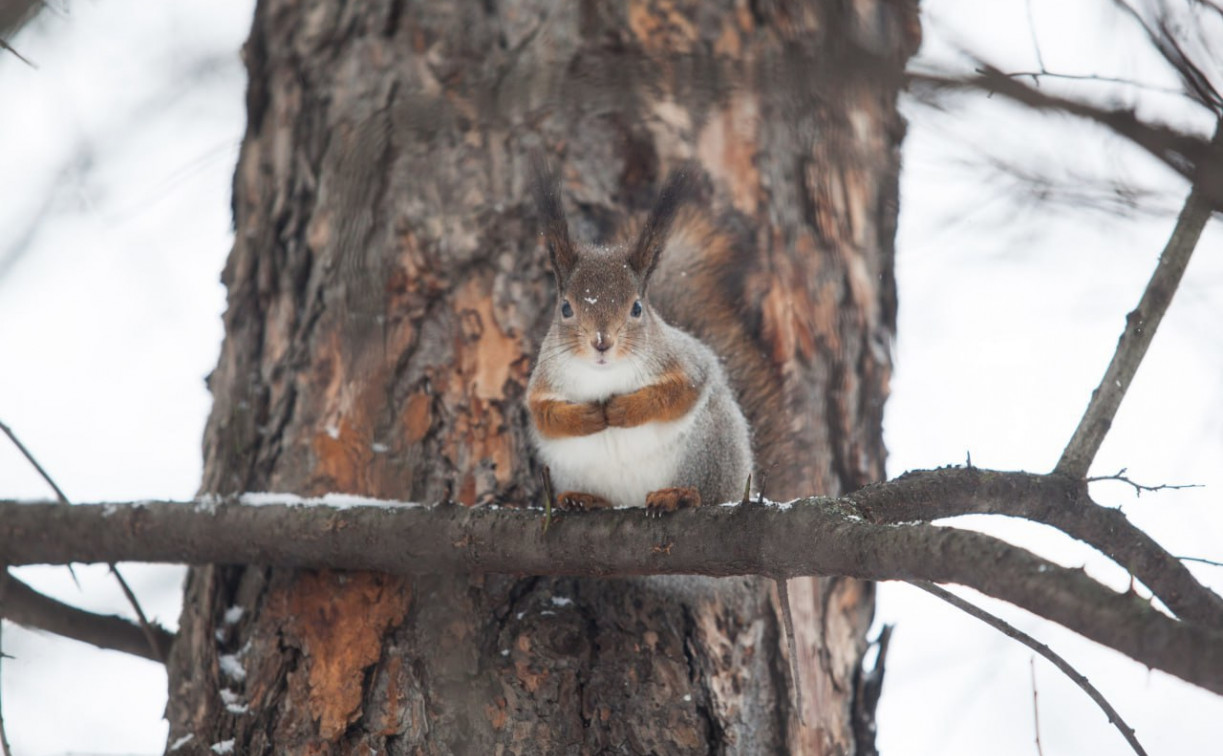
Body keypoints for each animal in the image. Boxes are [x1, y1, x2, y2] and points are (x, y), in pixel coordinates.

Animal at [528, 160, 753, 511]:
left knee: (707, 492)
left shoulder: (686, 363)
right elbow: (545, 414)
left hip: (709, 449)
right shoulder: (542, 383)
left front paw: (623, 409)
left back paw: (679, 494)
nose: (602, 342)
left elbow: (677, 393)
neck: (604, 374)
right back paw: (583, 499)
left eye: (636, 308)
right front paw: (589, 416)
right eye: (565, 308)